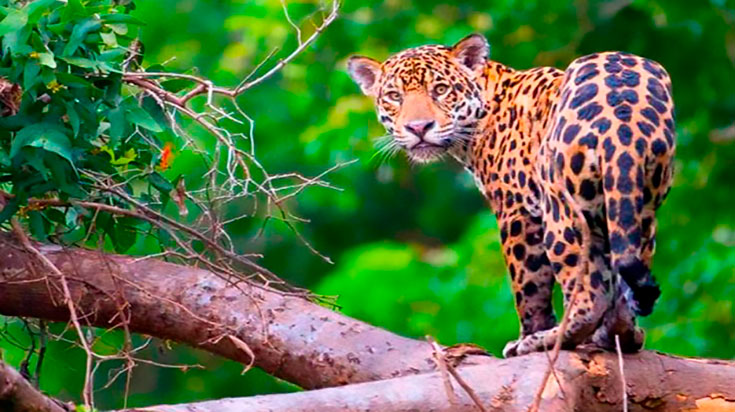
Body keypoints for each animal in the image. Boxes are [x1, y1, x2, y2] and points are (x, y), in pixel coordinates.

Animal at [347, 33, 675, 357]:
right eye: (394, 96)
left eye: (440, 90)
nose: (418, 128)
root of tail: (622, 114)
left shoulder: (517, 212)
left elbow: (528, 286)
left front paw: (528, 335)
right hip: (637, 206)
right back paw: (620, 335)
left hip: (562, 211)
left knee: (588, 295)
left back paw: (549, 339)